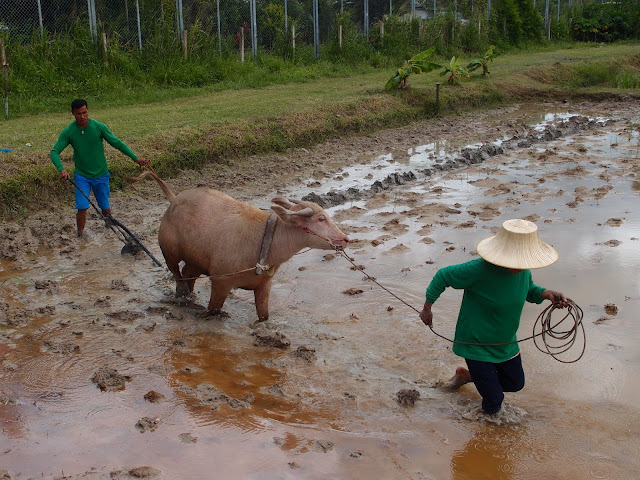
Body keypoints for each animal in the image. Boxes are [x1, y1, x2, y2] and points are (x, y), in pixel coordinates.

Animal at [134, 171, 350, 320]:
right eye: (321, 219)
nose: (345, 239)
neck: (265, 242)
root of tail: (174, 199)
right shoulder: (220, 283)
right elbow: (212, 310)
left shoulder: (264, 286)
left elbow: (264, 316)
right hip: (169, 253)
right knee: (178, 277)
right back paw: (182, 296)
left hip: (196, 260)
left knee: (188, 274)